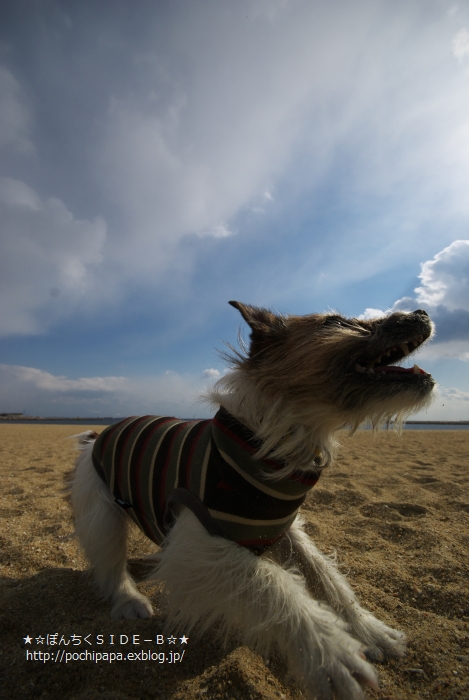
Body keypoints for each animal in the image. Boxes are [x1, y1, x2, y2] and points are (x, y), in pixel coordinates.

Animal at [67, 302, 434, 700]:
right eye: (336, 322)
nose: (422, 311)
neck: (271, 444)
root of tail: (99, 434)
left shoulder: (280, 528)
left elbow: (325, 577)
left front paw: (370, 631)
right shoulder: (198, 546)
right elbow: (272, 583)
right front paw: (329, 652)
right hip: (102, 515)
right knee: (110, 566)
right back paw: (129, 600)